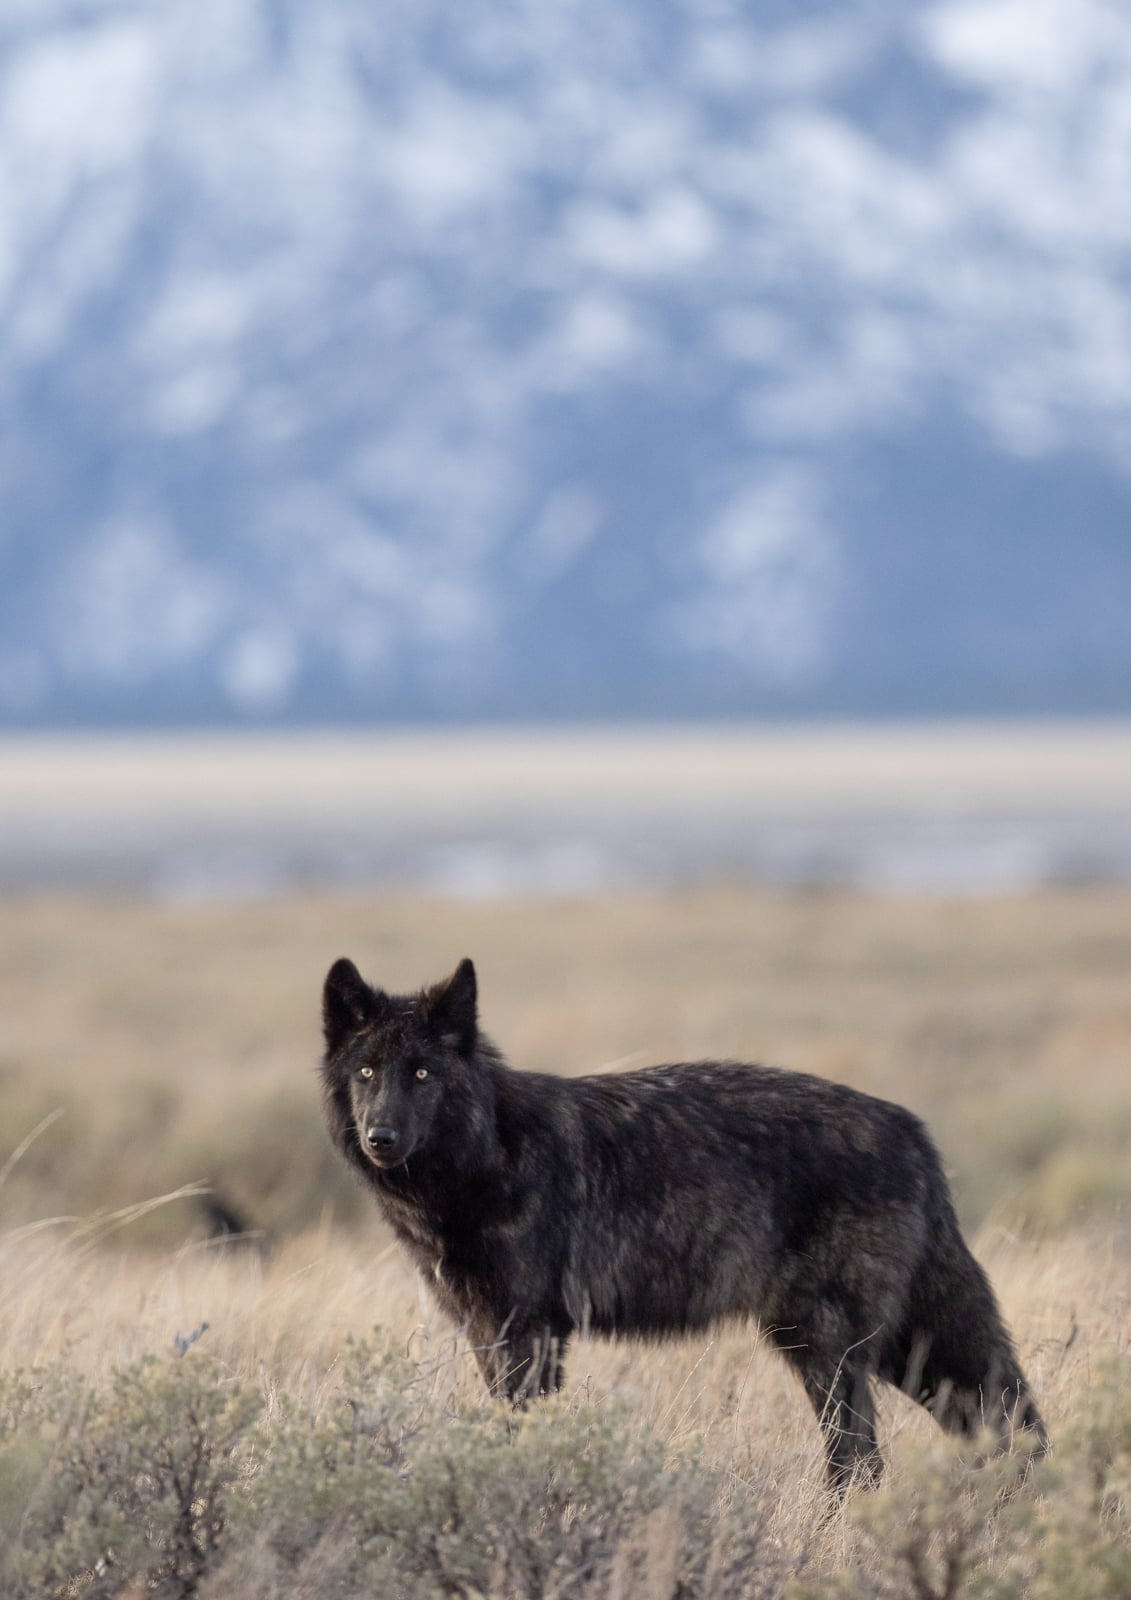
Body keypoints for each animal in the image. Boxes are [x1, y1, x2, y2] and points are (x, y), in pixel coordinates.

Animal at [320, 956, 1047, 1493]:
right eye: (367, 1072)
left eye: (421, 1073)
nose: (381, 1137)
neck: (487, 1154)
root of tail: (910, 1128)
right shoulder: (485, 1332)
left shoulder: (529, 1335)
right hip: (897, 1351)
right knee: (1001, 1419)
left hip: (824, 1349)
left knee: (861, 1460)